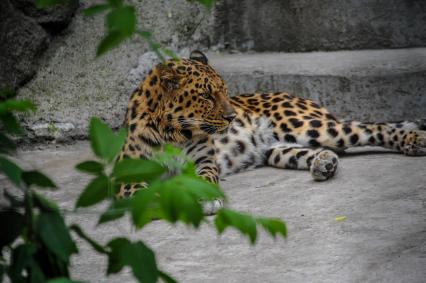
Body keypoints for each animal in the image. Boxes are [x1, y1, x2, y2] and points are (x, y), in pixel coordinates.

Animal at [116, 51, 426, 214]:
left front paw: (205, 197)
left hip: (309, 125)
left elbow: (204, 177)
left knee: (372, 127)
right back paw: (323, 163)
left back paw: (415, 140)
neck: (174, 133)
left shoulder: (204, 160)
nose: (232, 116)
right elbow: (149, 193)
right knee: (310, 151)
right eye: (205, 96)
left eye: (224, 91)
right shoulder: (126, 181)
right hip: (275, 148)